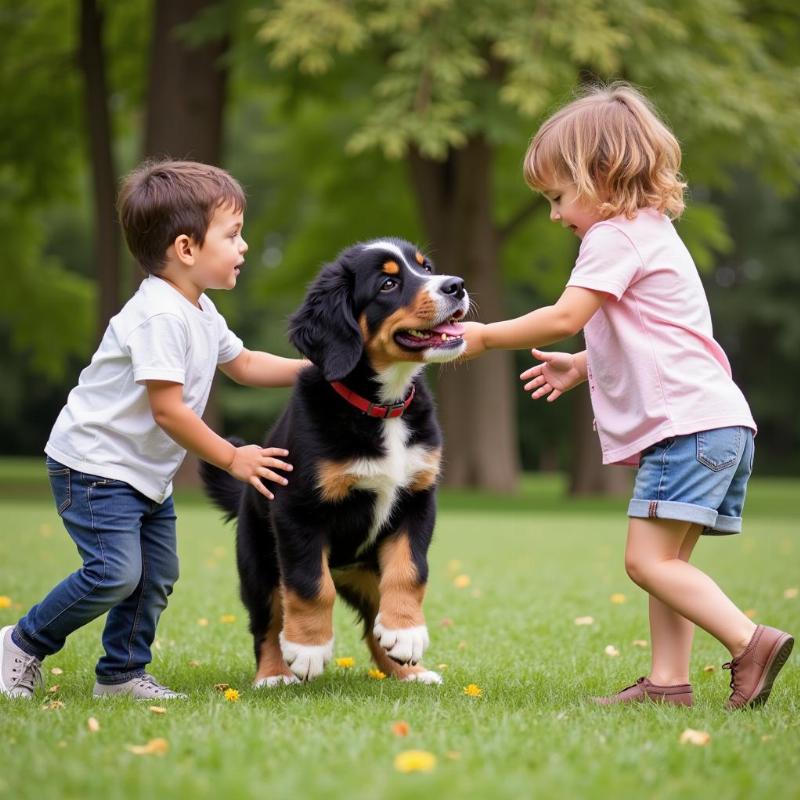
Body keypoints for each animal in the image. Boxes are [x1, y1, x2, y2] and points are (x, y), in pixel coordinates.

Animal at [200, 238, 472, 688]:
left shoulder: (417, 500)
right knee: (267, 619)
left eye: (426, 268)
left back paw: (408, 669)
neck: (382, 406)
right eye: (387, 283)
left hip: (366, 571)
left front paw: (407, 633)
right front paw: (309, 649)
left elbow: (410, 570)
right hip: (259, 563)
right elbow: (311, 584)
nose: (456, 285)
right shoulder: (298, 510)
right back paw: (274, 673)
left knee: (374, 624)